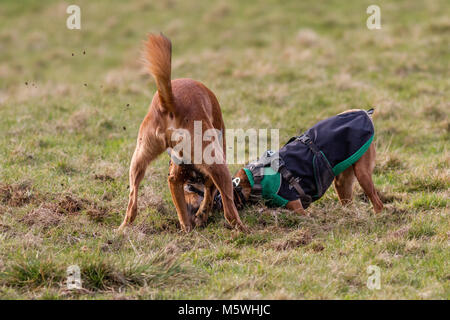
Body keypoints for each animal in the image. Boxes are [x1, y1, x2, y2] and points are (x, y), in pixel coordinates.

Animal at [118, 33, 246, 231]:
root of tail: (171, 103)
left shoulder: (174, 180)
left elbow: (183, 213)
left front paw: (191, 225)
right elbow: (210, 194)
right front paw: (201, 215)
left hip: (139, 157)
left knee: (132, 202)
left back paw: (123, 228)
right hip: (218, 164)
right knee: (230, 212)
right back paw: (243, 230)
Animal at [182, 109, 384, 218]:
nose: (188, 185)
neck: (254, 180)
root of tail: (364, 113)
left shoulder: (298, 208)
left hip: (362, 173)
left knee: (378, 203)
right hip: (342, 182)